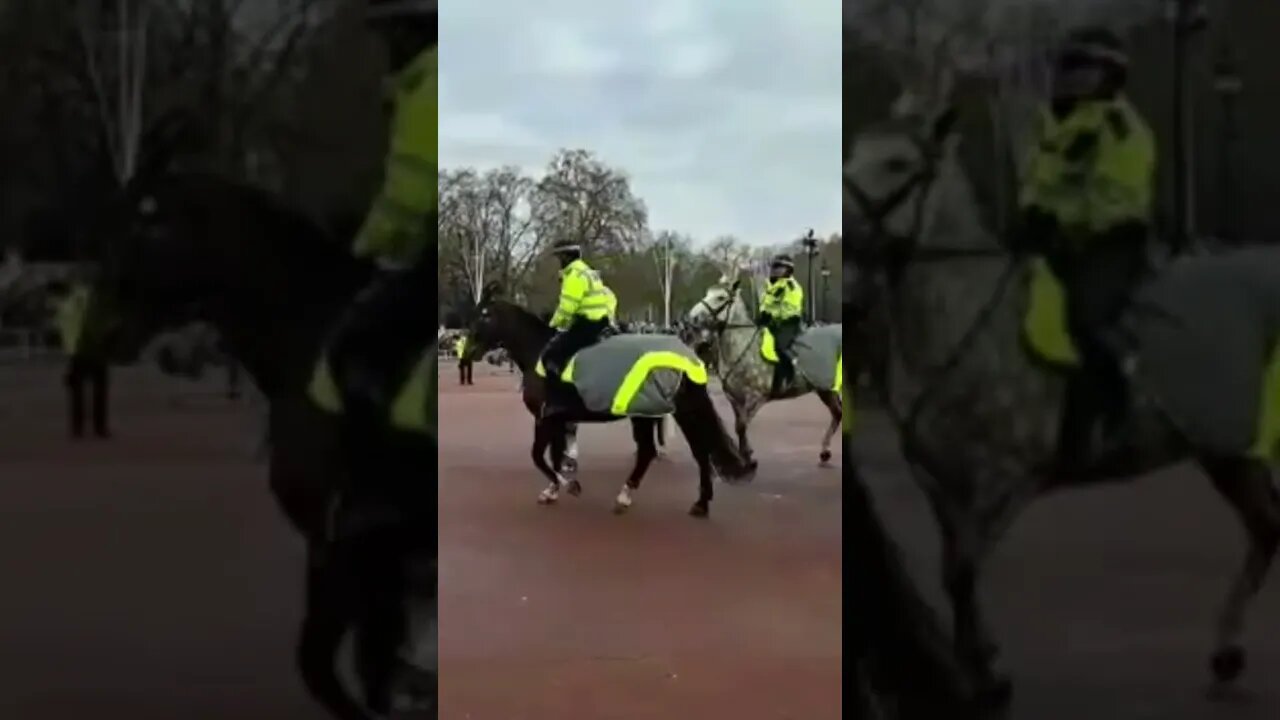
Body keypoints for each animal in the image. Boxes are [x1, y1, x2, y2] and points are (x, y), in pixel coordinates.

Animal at [78, 172, 430, 717]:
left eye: (148, 230)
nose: (99, 329)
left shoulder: (348, 552)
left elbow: (322, 666)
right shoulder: (362, 560)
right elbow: (364, 666)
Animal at [686, 274, 844, 466]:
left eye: (721, 297)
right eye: (708, 293)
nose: (693, 316)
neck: (742, 348)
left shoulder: (756, 397)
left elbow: (742, 425)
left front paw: (748, 457)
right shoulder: (734, 398)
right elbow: (739, 426)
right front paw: (745, 454)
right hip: (825, 389)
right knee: (837, 413)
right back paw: (825, 452)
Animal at [844, 107, 1280, 707]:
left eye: (897, 163)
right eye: (851, 155)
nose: (845, 238)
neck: (965, 324)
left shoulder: (1007, 478)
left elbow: (961, 569)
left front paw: (986, 676)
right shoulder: (940, 483)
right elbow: (956, 571)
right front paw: (978, 661)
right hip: (1227, 451)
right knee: (1266, 528)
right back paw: (1226, 654)